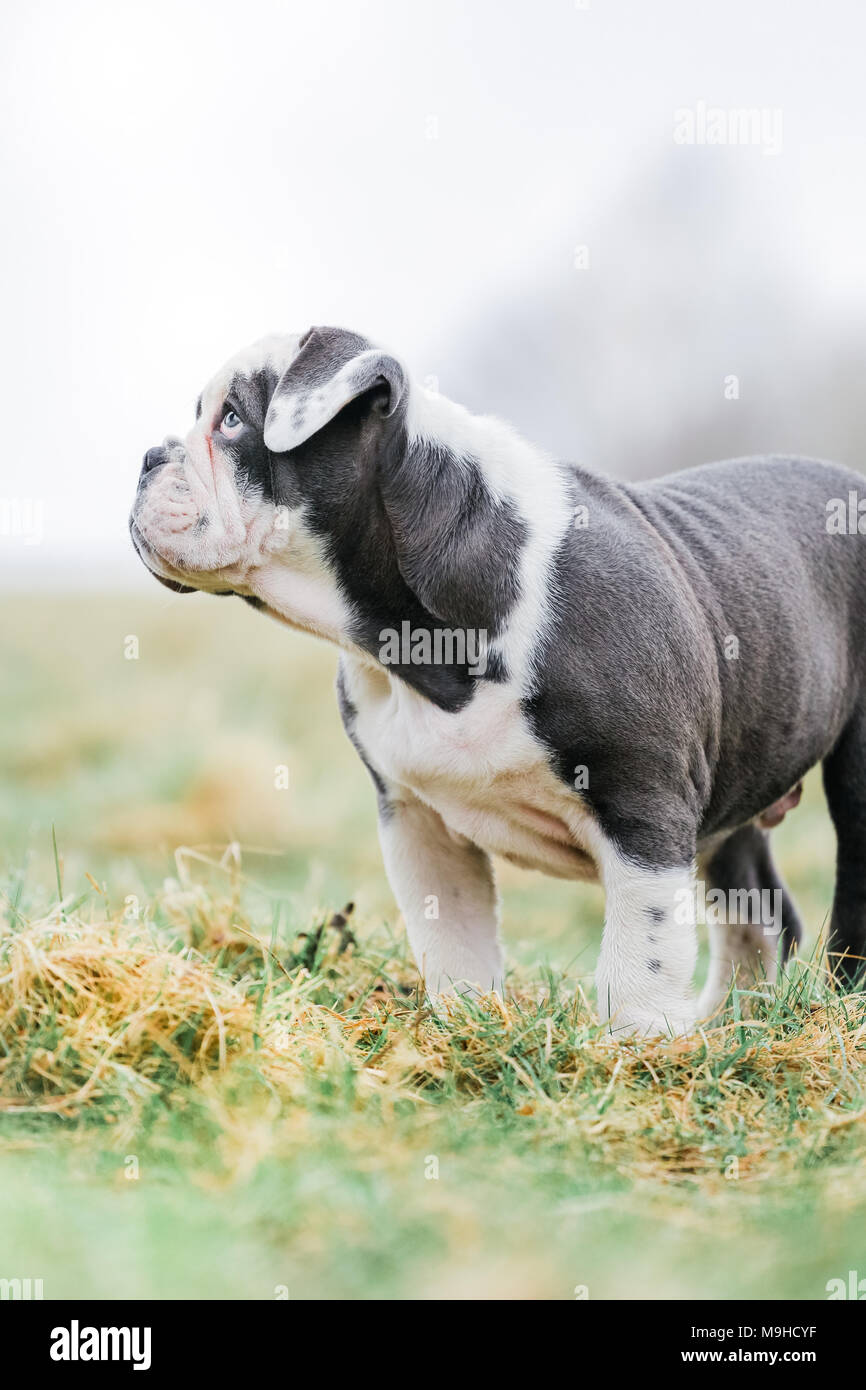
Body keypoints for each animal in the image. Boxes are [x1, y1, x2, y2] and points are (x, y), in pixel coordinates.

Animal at [128, 325, 866, 1039]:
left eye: (231, 420)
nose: (147, 458)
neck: (410, 645)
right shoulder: (415, 815)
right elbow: (453, 936)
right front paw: (463, 1028)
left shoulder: (642, 802)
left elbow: (640, 949)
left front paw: (634, 1047)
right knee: (756, 904)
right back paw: (729, 1023)